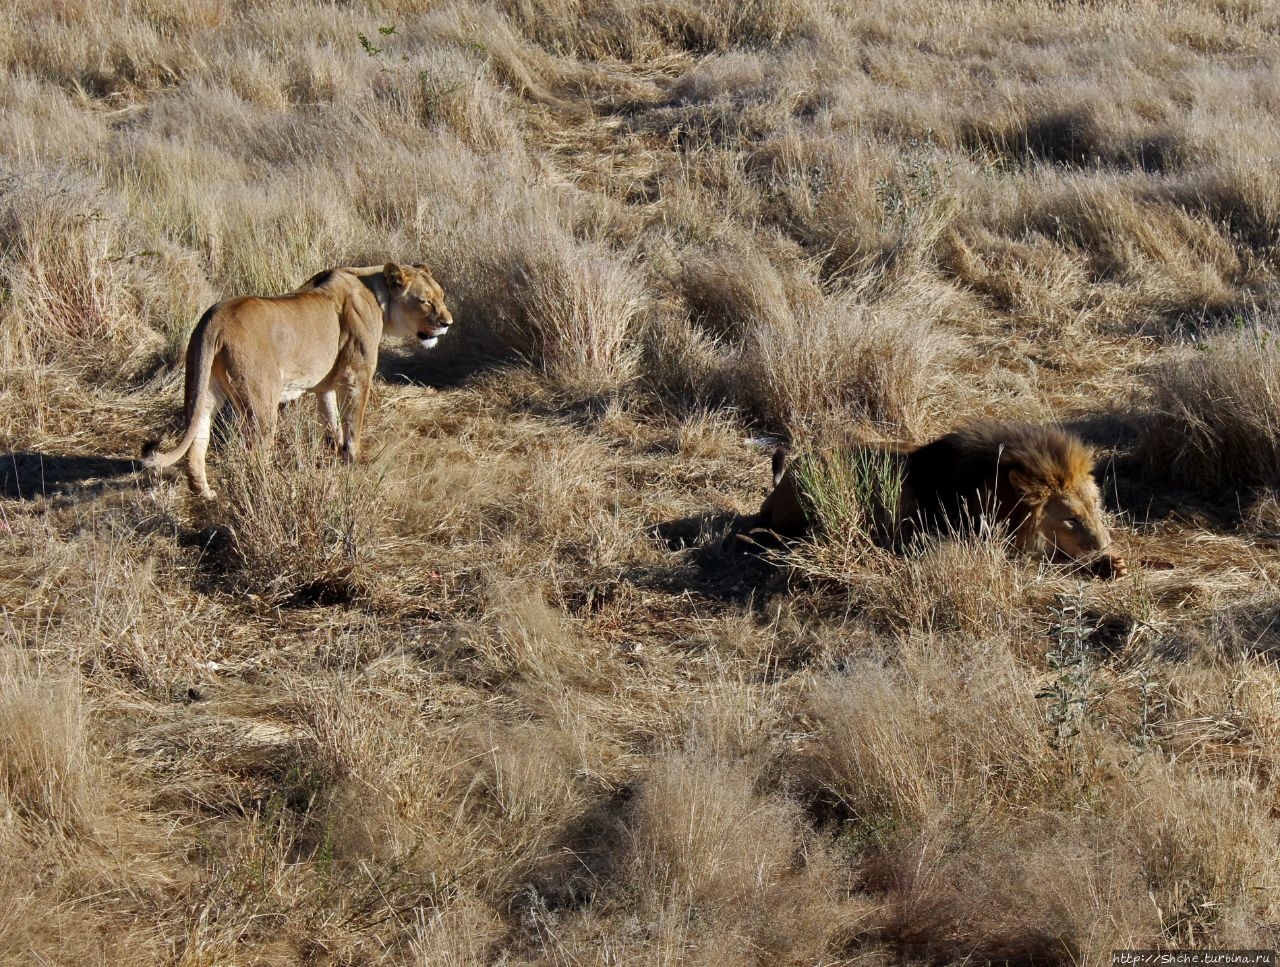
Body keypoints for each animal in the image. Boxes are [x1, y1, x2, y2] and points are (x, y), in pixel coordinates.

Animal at [142, 262, 453, 499]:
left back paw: (204, 493)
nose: (447, 323)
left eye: (442, 295)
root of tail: (214, 318)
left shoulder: (327, 385)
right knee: (254, 454)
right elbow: (354, 422)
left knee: (198, 438)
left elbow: (332, 422)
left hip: (203, 389)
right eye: (425, 301)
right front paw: (355, 461)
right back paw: (269, 491)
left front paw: (337, 455)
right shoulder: (357, 374)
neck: (377, 294)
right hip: (261, 402)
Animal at [747, 420, 1131, 578]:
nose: (1105, 544)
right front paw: (1105, 564)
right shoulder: (988, 545)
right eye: (1070, 519)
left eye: (1096, 508)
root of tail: (778, 490)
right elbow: (1052, 561)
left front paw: (1113, 563)